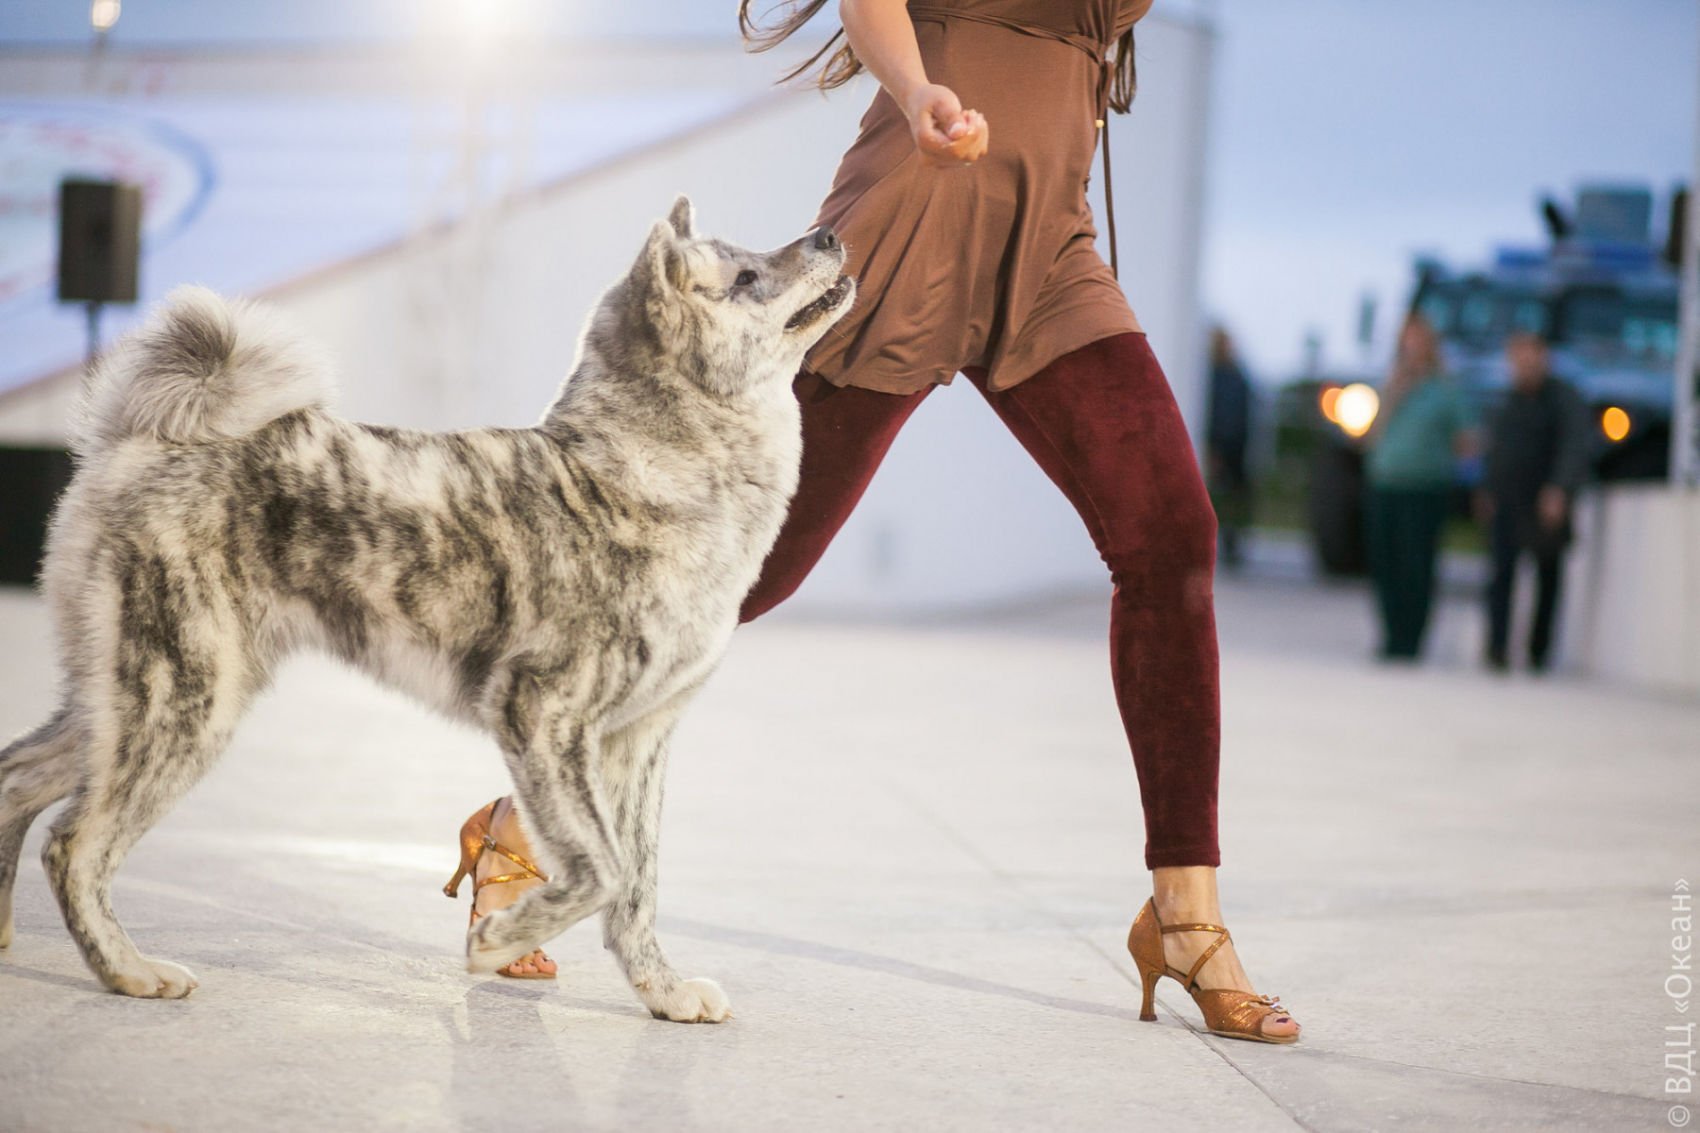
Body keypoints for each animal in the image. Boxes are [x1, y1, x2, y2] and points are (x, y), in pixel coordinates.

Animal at [0, 197, 851, 1021]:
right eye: (745, 276)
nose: (831, 234)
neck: (646, 470)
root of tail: (140, 444)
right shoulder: (541, 709)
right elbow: (602, 870)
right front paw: (500, 938)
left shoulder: (636, 741)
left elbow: (636, 886)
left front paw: (664, 993)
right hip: (181, 703)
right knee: (74, 846)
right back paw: (131, 971)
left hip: (123, 701)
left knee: (14, 779)